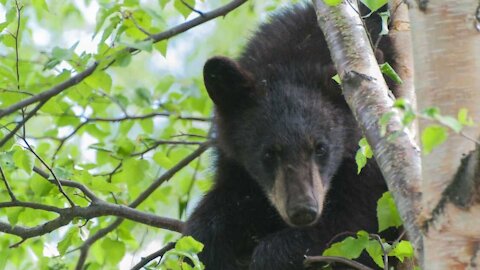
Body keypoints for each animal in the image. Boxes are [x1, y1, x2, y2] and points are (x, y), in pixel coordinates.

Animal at [184, 2, 398, 270]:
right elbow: (217, 213)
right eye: (268, 153)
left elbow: (358, 219)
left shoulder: (369, 157)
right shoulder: (234, 162)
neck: (293, 61)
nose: (303, 210)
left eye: (321, 148)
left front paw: (272, 254)